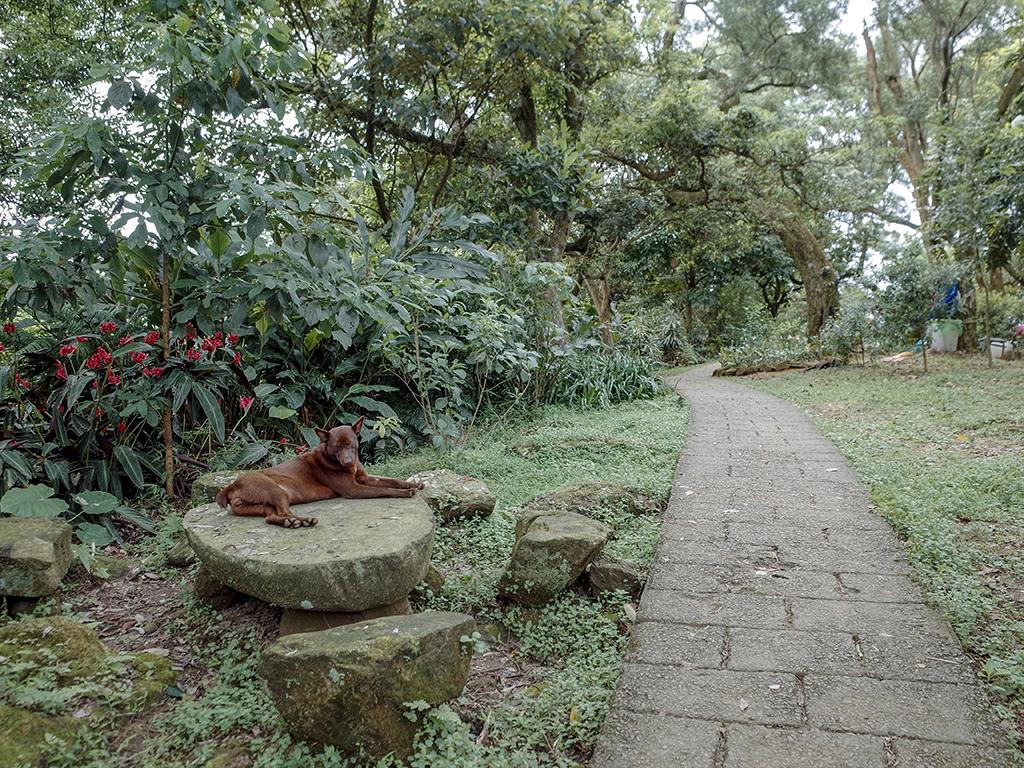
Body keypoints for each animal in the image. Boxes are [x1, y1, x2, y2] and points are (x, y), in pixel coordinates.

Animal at [216, 421, 423, 528]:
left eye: (350, 444)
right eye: (336, 447)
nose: (348, 462)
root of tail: (231, 486)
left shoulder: (364, 478)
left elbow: (392, 480)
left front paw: (413, 484)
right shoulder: (354, 489)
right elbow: (384, 490)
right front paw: (405, 493)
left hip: (259, 506)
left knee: (270, 517)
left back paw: (290, 522)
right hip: (276, 491)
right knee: (284, 511)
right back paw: (303, 521)